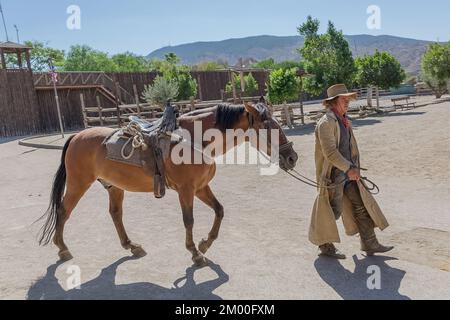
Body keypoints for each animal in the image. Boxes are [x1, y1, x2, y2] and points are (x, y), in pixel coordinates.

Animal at [38, 100, 298, 264]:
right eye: (269, 126)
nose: (292, 157)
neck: (196, 141)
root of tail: (76, 137)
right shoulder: (186, 190)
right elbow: (188, 220)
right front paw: (195, 253)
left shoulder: (201, 188)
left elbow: (219, 210)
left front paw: (205, 244)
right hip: (78, 183)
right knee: (63, 211)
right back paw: (63, 249)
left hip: (114, 186)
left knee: (115, 214)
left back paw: (131, 246)